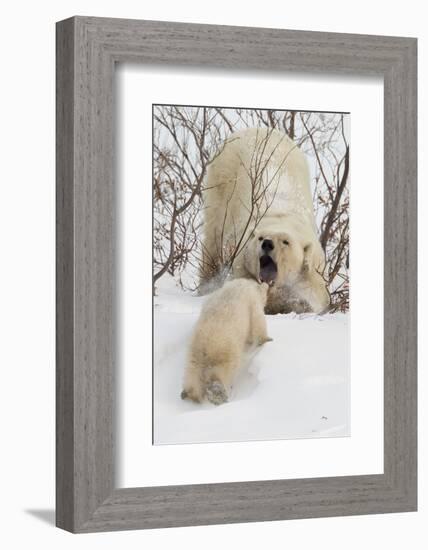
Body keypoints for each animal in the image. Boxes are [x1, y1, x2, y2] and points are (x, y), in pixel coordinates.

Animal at [201, 126, 332, 314]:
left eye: (285, 241)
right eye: (260, 237)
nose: (267, 244)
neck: (281, 217)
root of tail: (252, 129)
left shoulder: (312, 271)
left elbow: (314, 296)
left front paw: (295, 303)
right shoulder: (243, 261)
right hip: (221, 181)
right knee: (213, 237)